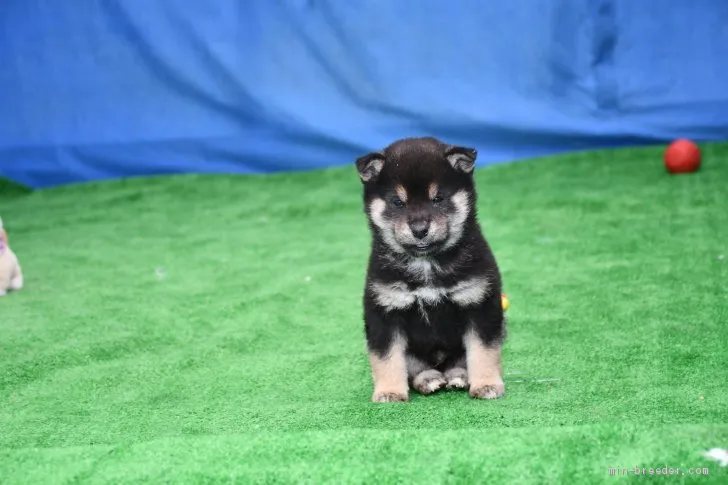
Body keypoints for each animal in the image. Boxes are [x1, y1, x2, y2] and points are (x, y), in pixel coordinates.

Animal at [354, 135, 506, 400]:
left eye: (438, 199)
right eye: (398, 202)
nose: (419, 229)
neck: (426, 265)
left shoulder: (479, 304)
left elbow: (483, 351)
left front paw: (486, 384)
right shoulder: (385, 312)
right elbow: (386, 358)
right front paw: (390, 391)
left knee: (460, 362)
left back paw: (458, 376)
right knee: (415, 367)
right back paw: (429, 379)